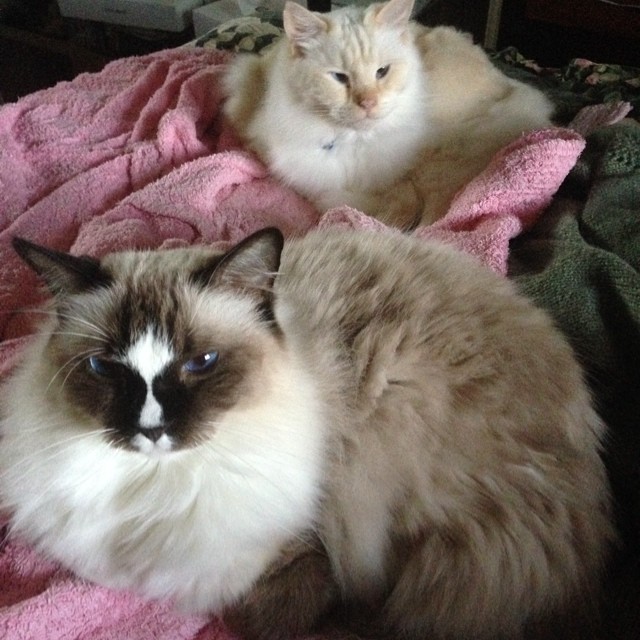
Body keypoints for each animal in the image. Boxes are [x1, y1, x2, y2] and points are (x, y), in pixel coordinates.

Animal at [225, 0, 556, 228]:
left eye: (382, 72)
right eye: (339, 78)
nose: (368, 103)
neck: (354, 141)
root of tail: (512, 87)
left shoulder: (404, 180)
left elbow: (394, 208)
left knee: (440, 218)